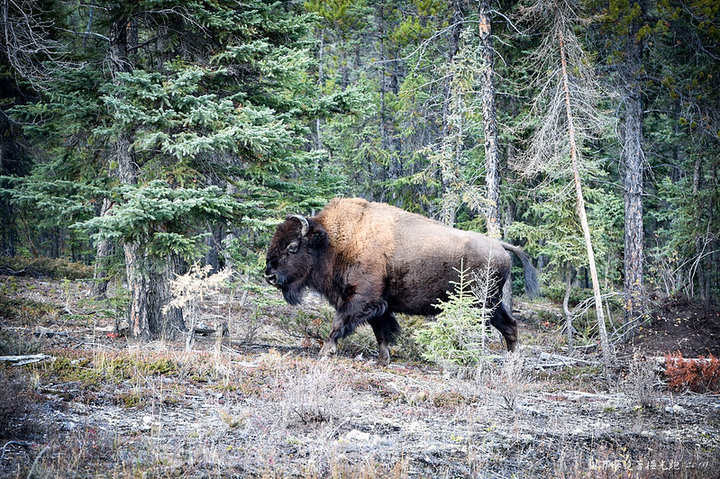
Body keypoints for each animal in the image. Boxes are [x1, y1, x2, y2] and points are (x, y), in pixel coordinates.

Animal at [268, 197, 536, 366]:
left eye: (293, 246)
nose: (269, 275)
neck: (336, 240)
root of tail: (500, 246)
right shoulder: (378, 305)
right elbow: (381, 333)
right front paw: (383, 360)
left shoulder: (360, 298)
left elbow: (338, 324)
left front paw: (324, 352)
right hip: (491, 303)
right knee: (510, 326)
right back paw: (512, 363)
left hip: (479, 303)